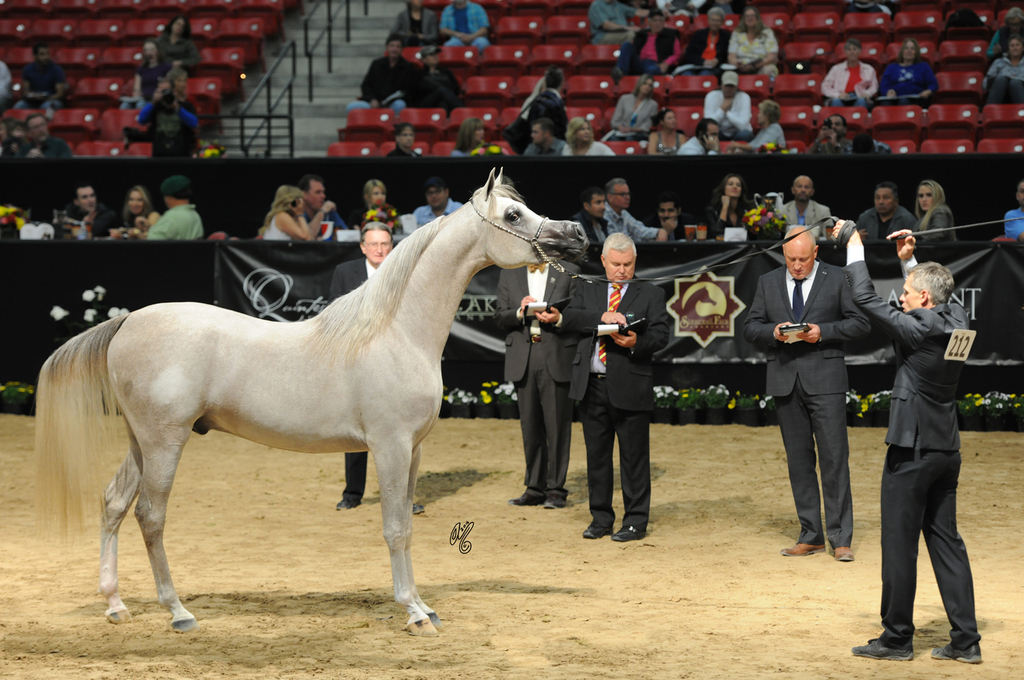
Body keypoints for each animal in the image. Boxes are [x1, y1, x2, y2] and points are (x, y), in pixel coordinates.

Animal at [35, 169, 588, 636]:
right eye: (513, 215)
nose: (579, 234)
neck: (396, 332)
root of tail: (129, 320)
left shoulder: (414, 450)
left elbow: (408, 523)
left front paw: (423, 605)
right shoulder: (389, 447)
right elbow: (394, 529)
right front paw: (413, 612)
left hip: (140, 443)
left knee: (113, 504)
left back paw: (115, 605)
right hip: (164, 441)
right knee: (150, 516)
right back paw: (178, 612)